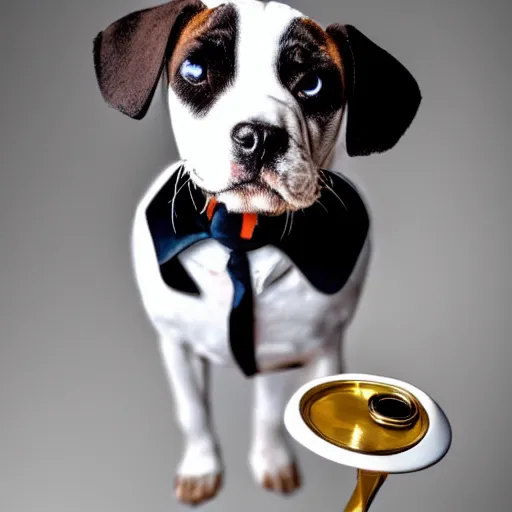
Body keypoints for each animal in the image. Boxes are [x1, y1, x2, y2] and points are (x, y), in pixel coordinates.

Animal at [92, 0, 420, 504]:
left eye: (313, 84)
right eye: (195, 70)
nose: (260, 136)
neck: (241, 235)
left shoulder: (282, 354)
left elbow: (269, 412)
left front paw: (272, 459)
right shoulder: (177, 346)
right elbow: (192, 411)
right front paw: (202, 466)